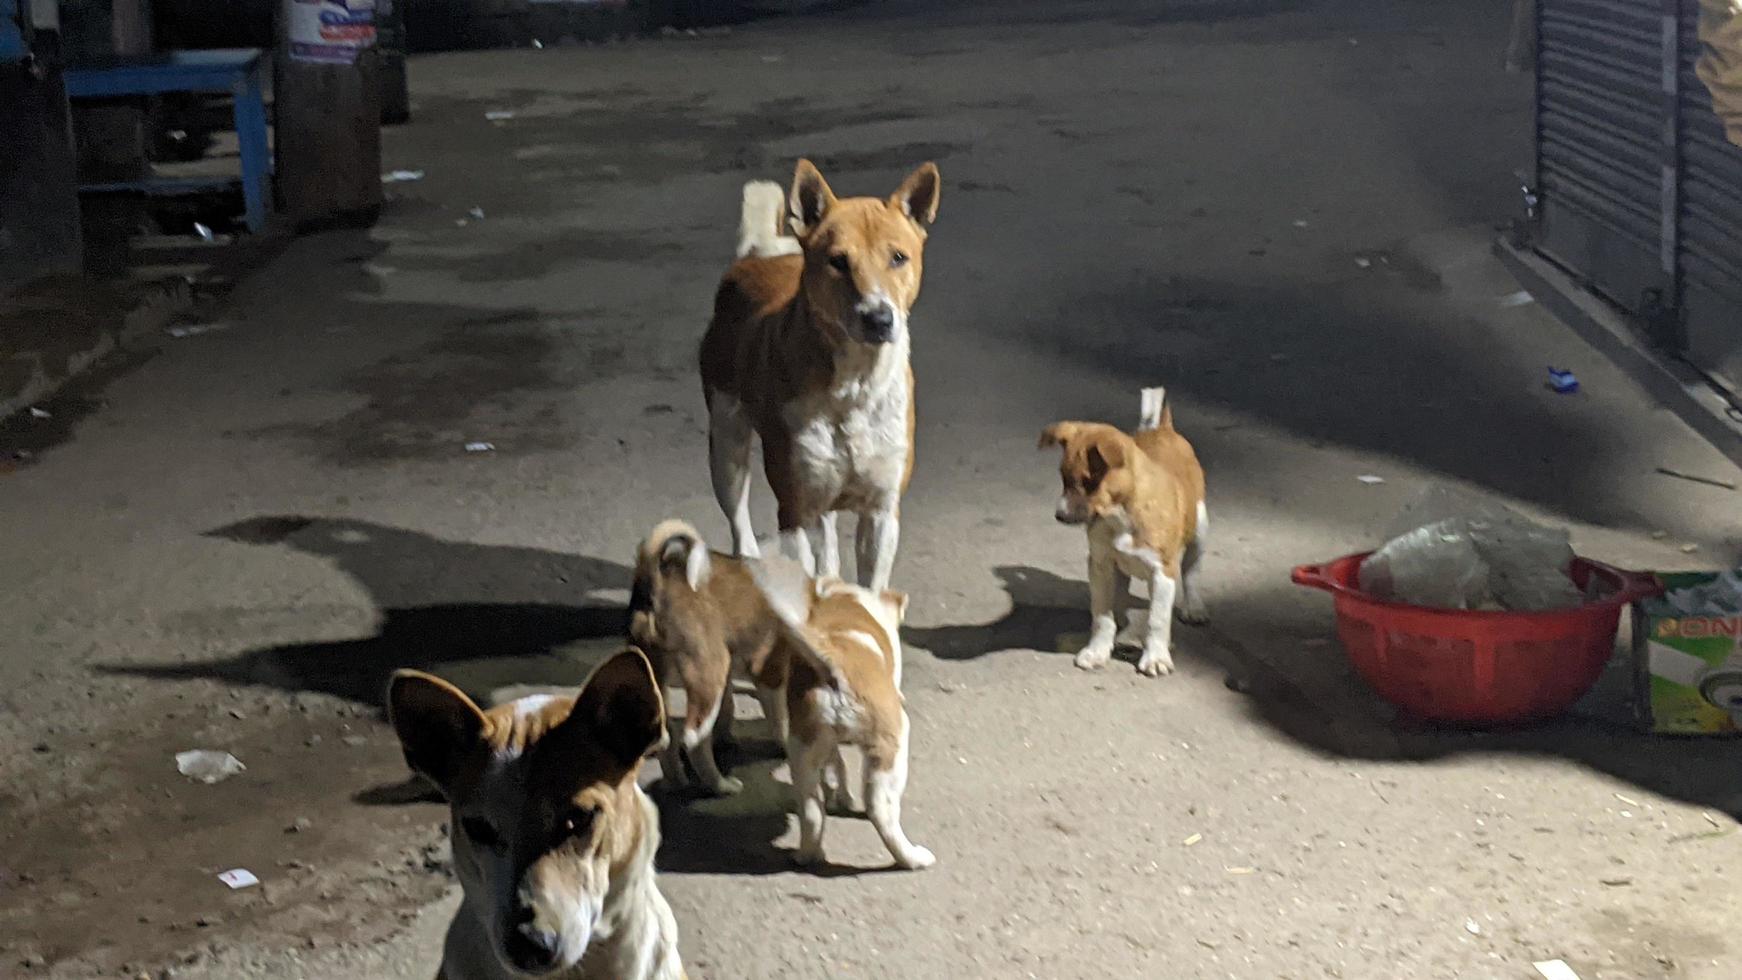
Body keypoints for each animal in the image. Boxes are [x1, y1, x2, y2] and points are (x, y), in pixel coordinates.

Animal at [693, 160, 940, 591]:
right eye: (838, 261)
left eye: (898, 257)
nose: (879, 318)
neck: (853, 385)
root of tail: (760, 255)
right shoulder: (795, 508)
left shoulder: (881, 510)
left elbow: (871, 585)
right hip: (727, 441)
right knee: (738, 514)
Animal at [756, 563, 933, 870]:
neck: (844, 596)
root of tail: (833, 665)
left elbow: (837, 764)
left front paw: (842, 796)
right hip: (892, 743)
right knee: (881, 809)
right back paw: (912, 858)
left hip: (803, 749)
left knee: (812, 811)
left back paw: (807, 855)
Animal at [1038, 388, 1205, 678]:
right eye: (1063, 478)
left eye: (1089, 482)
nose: (1060, 515)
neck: (1120, 516)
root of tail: (1163, 428)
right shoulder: (1101, 564)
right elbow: (1102, 616)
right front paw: (1097, 651)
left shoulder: (1164, 572)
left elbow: (1157, 619)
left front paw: (1156, 657)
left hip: (1200, 529)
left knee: (1192, 570)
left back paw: (1192, 607)